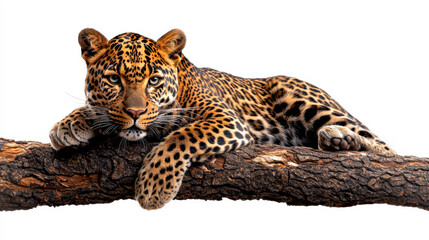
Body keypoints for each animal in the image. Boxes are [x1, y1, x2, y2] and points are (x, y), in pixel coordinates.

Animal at [49, 28, 394, 210]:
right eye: (114, 79)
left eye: (154, 81)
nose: (135, 113)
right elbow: (98, 109)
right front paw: (67, 125)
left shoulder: (225, 121)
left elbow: (180, 137)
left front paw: (154, 187)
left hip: (297, 94)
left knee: (386, 148)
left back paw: (341, 138)